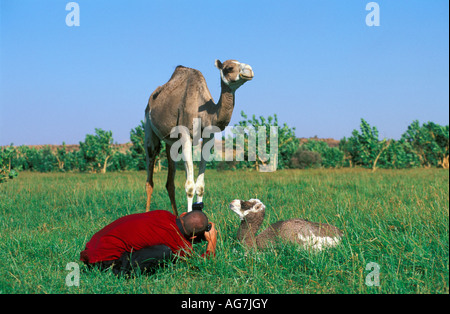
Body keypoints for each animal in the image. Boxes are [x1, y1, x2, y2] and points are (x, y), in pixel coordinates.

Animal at [146, 59, 255, 215]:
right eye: (229, 68)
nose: (249, 71)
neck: (205, 114)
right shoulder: (185, 134)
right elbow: (190, 186)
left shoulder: (209, 137)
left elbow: (200, 186)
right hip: (149, 127)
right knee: (150, 172)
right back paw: (146, 213)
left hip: (172, 143)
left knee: (170, 182)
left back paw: (176, 215)